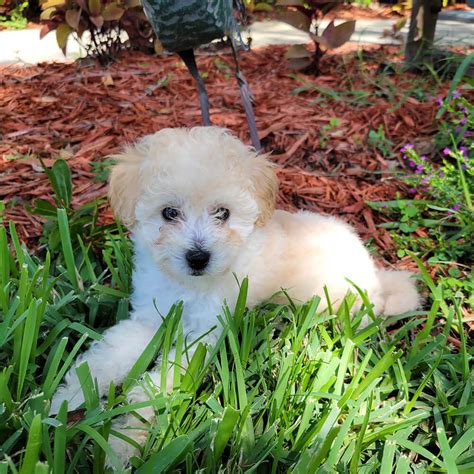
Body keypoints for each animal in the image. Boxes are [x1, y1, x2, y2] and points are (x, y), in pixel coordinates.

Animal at [51, 126, 418, 462]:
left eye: (223, 213)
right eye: (169, 213)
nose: (198, 257)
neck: (189, 285)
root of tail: (375, 277)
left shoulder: (204, 334)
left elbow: (159, 382)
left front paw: (125, 438)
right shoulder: (151, 317)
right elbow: (109, 356)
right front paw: (66, 399)